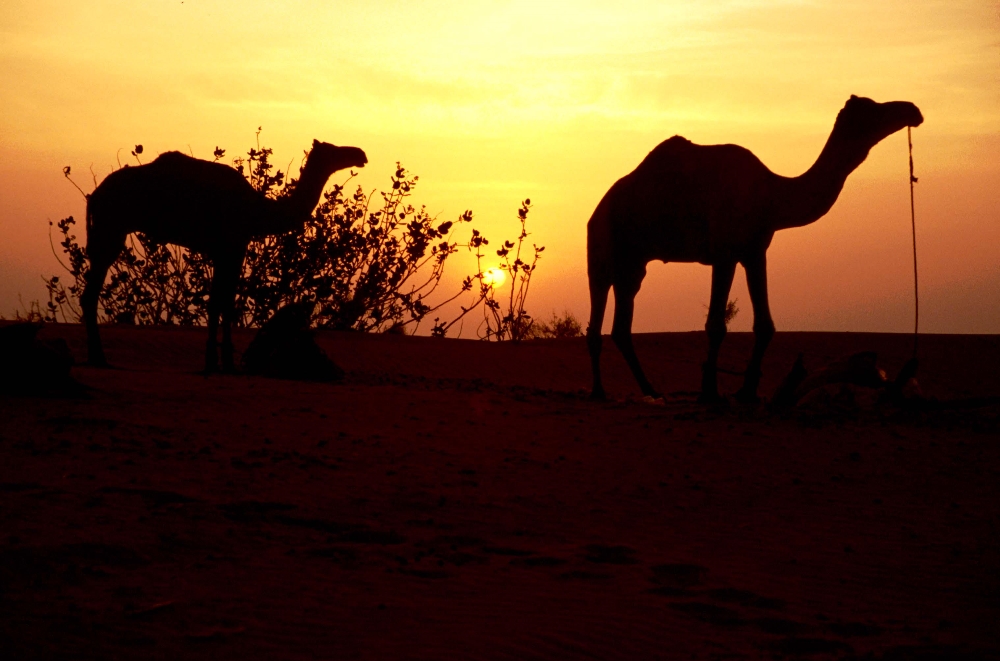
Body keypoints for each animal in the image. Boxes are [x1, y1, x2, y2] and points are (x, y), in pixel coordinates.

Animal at [83, 139, 367, 372]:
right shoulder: (233, 247)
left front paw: (216, 361)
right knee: (91, 292)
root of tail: (94, 196)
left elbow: (218, 302)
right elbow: (225, 303)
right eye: (333, 150)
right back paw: (99, 358)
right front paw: (221, 363)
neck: (260, 212)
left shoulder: (222, 252)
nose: (360, 153)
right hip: (111, 228)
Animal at [587, 95, 923, 403]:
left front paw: (746, 391)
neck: (772, 195)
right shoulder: (724, 253)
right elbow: (716, 325)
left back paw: (650, 390)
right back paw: (599, 392)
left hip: (633, 265)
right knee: (597, 315)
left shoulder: (754, 252)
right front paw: (710, 392)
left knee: (621, 325)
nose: (912, 110)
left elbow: (765, 325)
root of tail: (597, 209)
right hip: (602, 250)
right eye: (872, 109)